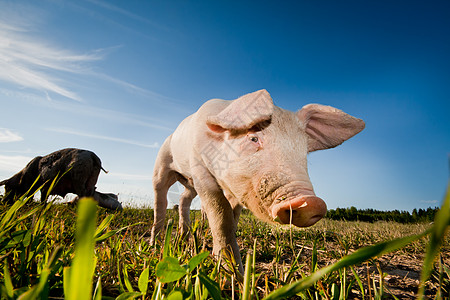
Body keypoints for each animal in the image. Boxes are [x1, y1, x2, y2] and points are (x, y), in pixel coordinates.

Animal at [151, 89, 366, 272]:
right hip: (163, 165)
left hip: (189, 184)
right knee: (160, 199)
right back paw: (155, 244)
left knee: (183, 200)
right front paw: (232, 274)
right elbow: (220, 214)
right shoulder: (199, 169)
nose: (310, 202)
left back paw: (184, 238)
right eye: (253, 139)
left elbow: (233, 217)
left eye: (304, 151)